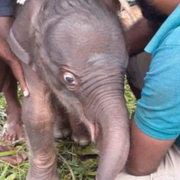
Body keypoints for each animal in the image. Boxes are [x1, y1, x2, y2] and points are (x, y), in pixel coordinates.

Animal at [8, 0, 129, 180]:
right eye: (69, 79)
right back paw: (61, 133)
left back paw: (80, 139)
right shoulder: (27, 55)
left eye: (125, 69)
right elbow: (38, 115)